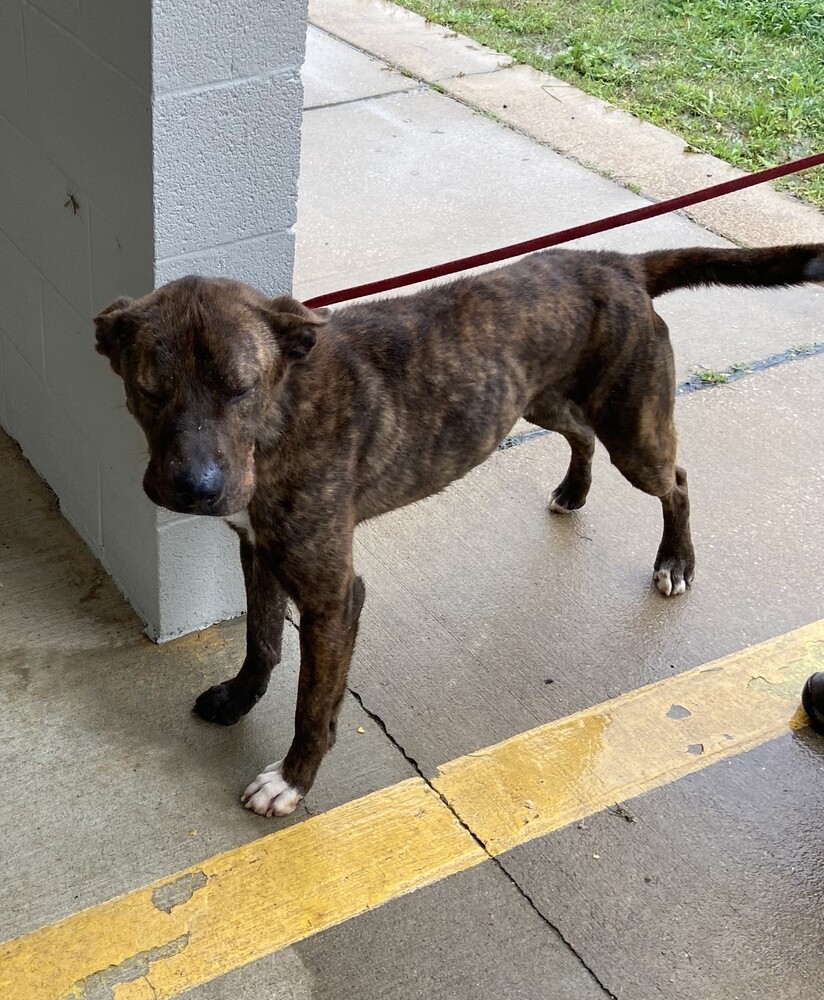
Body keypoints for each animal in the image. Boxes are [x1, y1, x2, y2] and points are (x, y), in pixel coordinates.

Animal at [96, 246, 824, 816]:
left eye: (240, 388)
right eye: (150, 390)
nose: (196, 489)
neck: (284, 412)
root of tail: (615, 262)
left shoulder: (334, 594)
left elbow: (314, 702)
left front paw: (292, 781)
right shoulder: (259, 549)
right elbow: (262, 642)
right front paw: (238, 699)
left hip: (634, 432)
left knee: (677, 480)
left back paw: (676, 561)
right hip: (539, 399)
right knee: (580, 434)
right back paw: (575, 490)